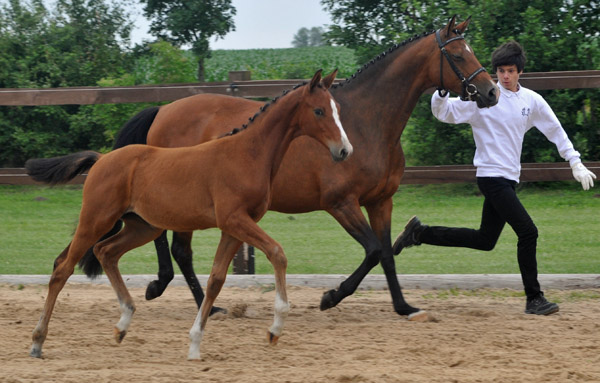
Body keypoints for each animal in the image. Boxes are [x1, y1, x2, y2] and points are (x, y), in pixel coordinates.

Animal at [25, 69, 352, 360]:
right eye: (319, 111)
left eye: (337, 109)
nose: (345, 151)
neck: (249, 154)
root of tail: (102, 159)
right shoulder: (235, 219)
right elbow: (277, 253)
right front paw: (275, 328)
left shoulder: (234, 227)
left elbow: (216, 279)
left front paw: (195, 344)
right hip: (96, 219)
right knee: (62, 268)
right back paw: (37, 342)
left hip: (142, 227)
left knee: (105, 251)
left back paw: (123, 323)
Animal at [82, 15, 500, 320]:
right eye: (458, 55)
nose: (491, 92)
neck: (365, 122)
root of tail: (163, 110)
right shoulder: (340, 203)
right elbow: (372, 251)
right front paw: (331, 296)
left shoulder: (381, 201)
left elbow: (386, 253)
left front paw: (403, 307)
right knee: (175, 247)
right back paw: (184, 295)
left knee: (171, 244)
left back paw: (192, 297)